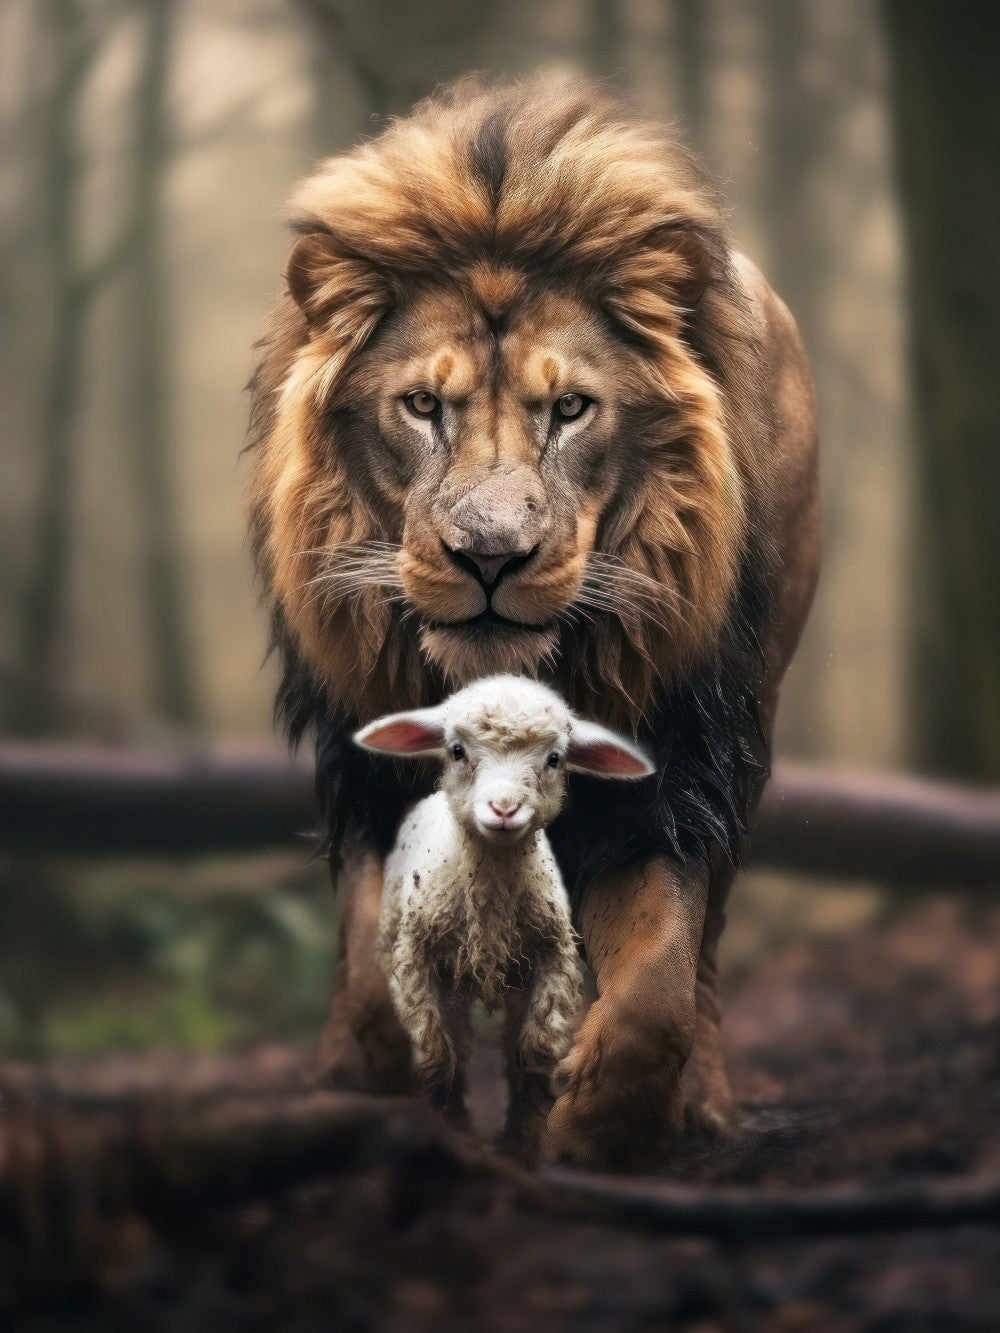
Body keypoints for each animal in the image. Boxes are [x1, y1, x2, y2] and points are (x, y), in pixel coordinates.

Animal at [246, 77, 820, 1169]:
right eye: (421, 405)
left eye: (572, 410)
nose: (489, 557)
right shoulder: (374, 770)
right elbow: (374, 970)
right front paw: (385, 1079)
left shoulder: (671, 771)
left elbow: (656, 991)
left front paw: (594, 1125)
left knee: (704, 955)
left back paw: (691, 1105)